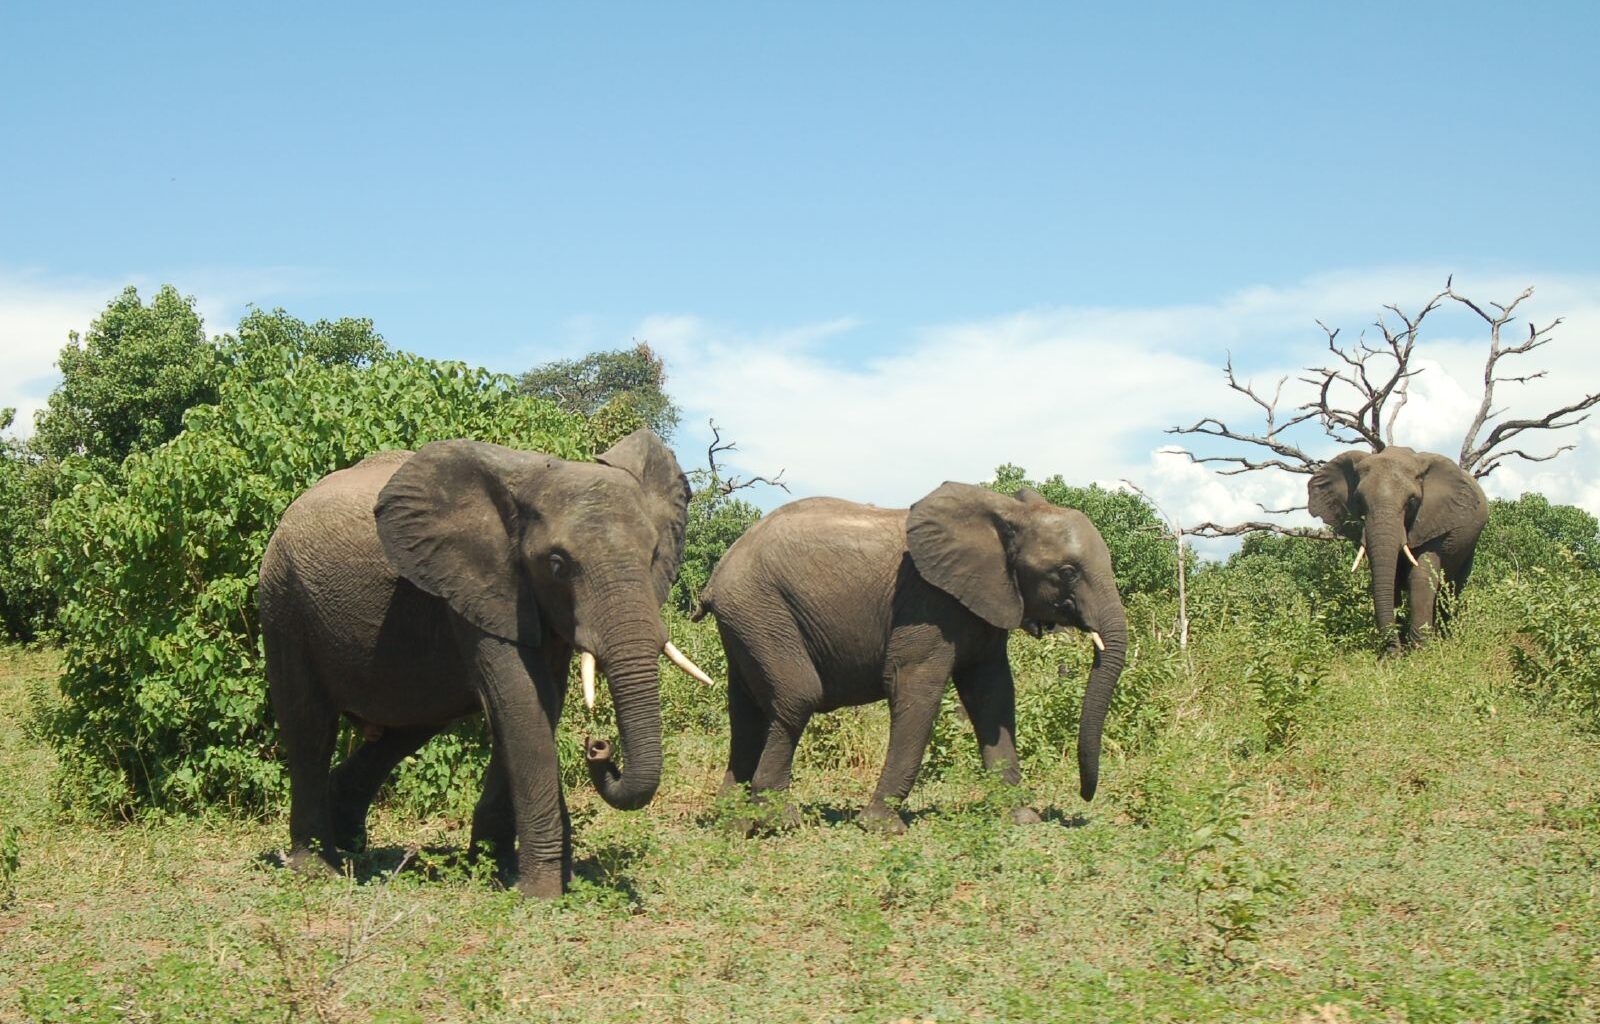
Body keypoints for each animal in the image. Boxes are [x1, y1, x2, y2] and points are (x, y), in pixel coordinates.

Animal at [257, 428, 714, 898]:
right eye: (557, 565)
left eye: (654, 555)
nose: (598, 746)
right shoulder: (479, 583)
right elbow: (522, 704)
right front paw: (540, 893)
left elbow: (539, 706)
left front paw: (499, 869)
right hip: (284, 601)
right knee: (310, 728)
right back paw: (317, 868)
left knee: (407, 728)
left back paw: (351, 841)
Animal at [692, 482, 1128, 834]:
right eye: (1067, 572)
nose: (1085, 795)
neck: (1007, 514)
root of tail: (716, 577)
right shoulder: (927, 603)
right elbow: (916, 688)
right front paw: (882, 827)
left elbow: (994, 696)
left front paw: (1023, 820)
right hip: (762, 611)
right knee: (798, 696)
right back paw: (778, 823)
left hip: (749, 621)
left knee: (747, 712)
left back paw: (734, 824)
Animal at [1308, 445, 1488, 651]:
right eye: (1359, 501)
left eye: (1411, 501)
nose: (1393, 651)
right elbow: (1389, 579)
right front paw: (1396, 653)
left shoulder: (1433, 518)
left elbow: (1420, 576)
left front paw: (1421, 652)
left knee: (1452, 587)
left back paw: (1445, 637)